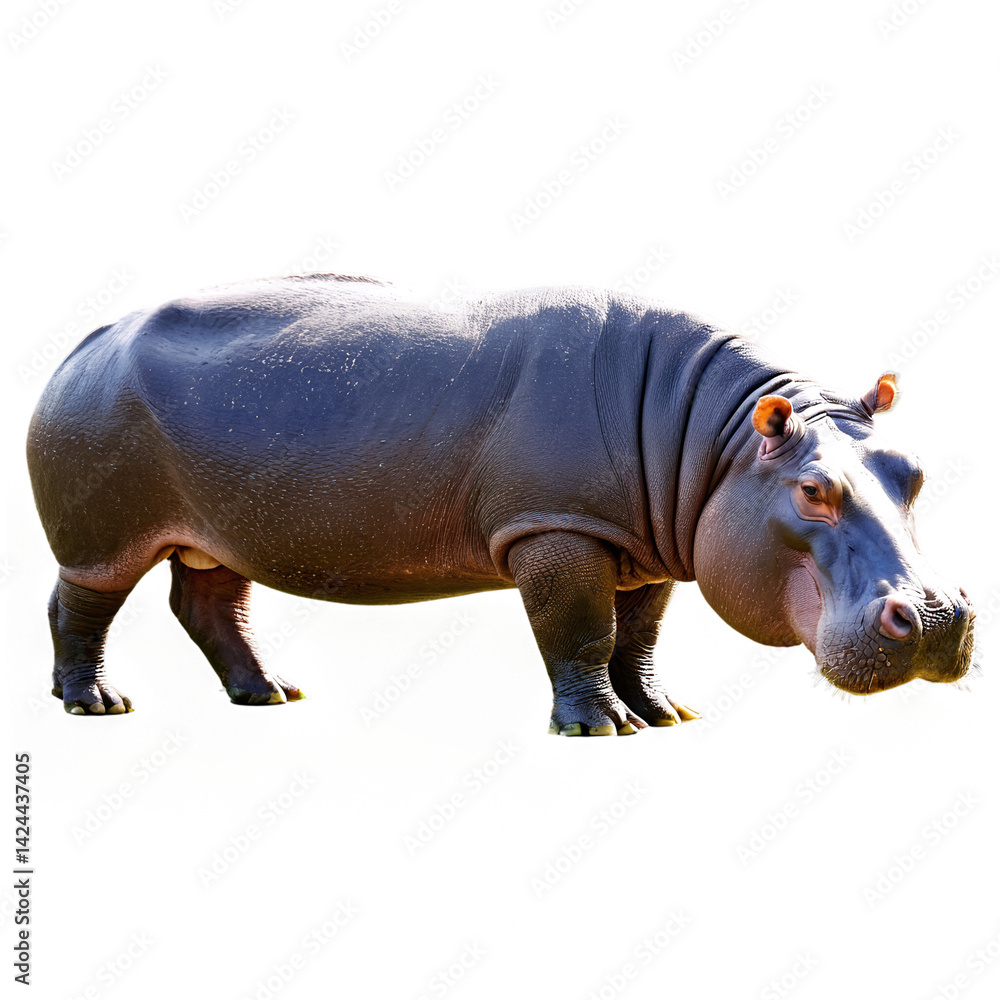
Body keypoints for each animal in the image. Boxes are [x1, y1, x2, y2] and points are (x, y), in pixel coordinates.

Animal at [27, 274, 976, 732]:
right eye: (813, 490)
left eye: (914, 471)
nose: (936, 616)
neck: (723, 442)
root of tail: (85, 342)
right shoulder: (557, 532)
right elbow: (580, 631)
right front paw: (600, 731)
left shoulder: (645, 550)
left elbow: (639, 639)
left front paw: (664, 714)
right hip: (102, 537)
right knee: (79, 605)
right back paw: (96, 705)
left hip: (222, 532)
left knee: (210, 602)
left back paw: (272, 695)